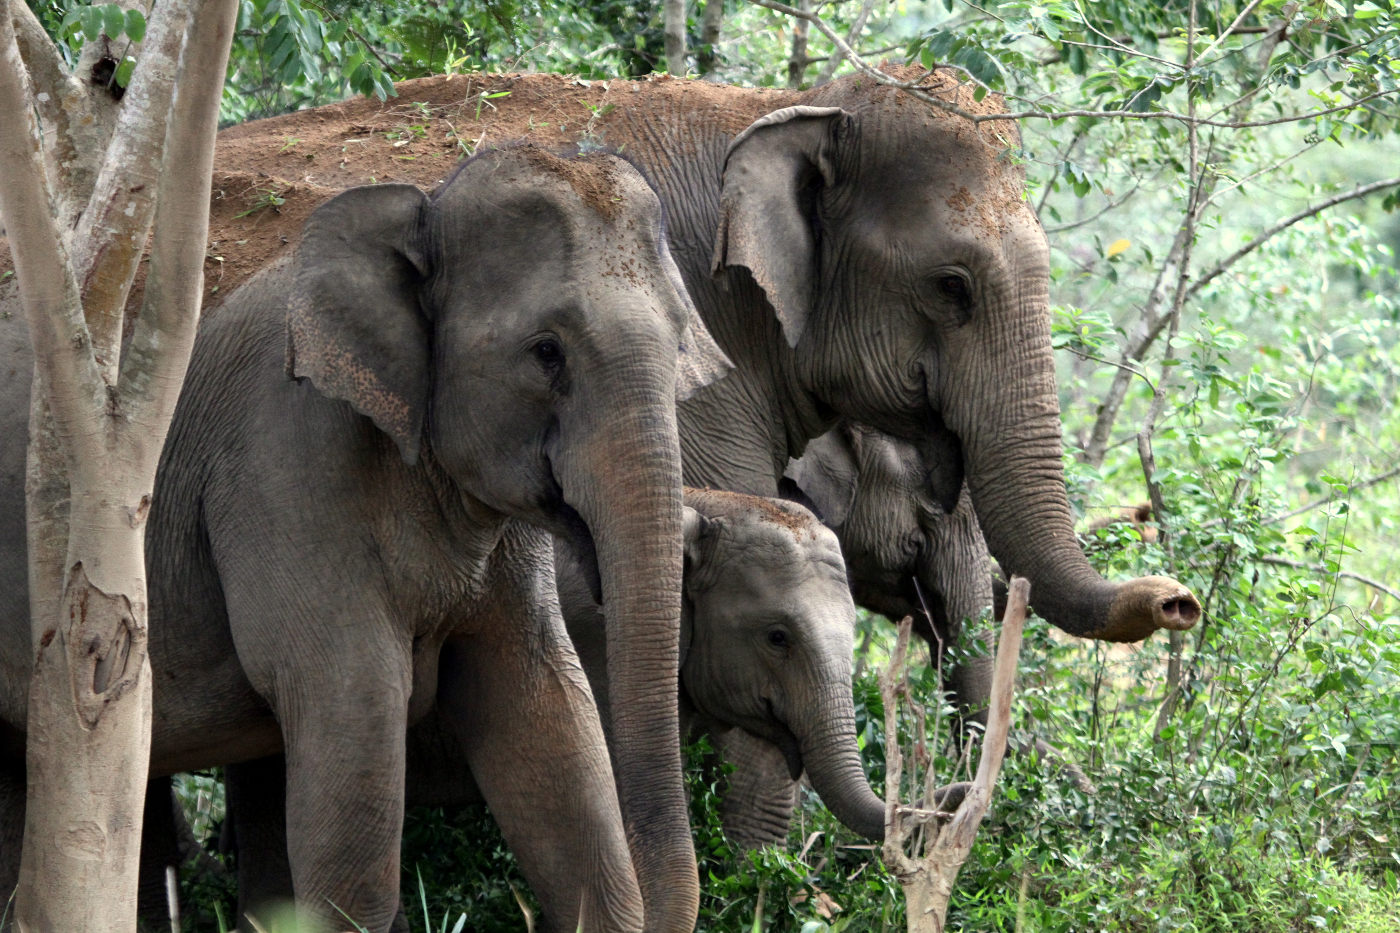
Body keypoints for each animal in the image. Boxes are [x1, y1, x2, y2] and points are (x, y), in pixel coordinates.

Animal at [0, 145, 722, 930]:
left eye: (681, 340)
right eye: (546, 351)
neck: (420, 210)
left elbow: (545, 709)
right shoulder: (283, 467)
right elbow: (354, 713)